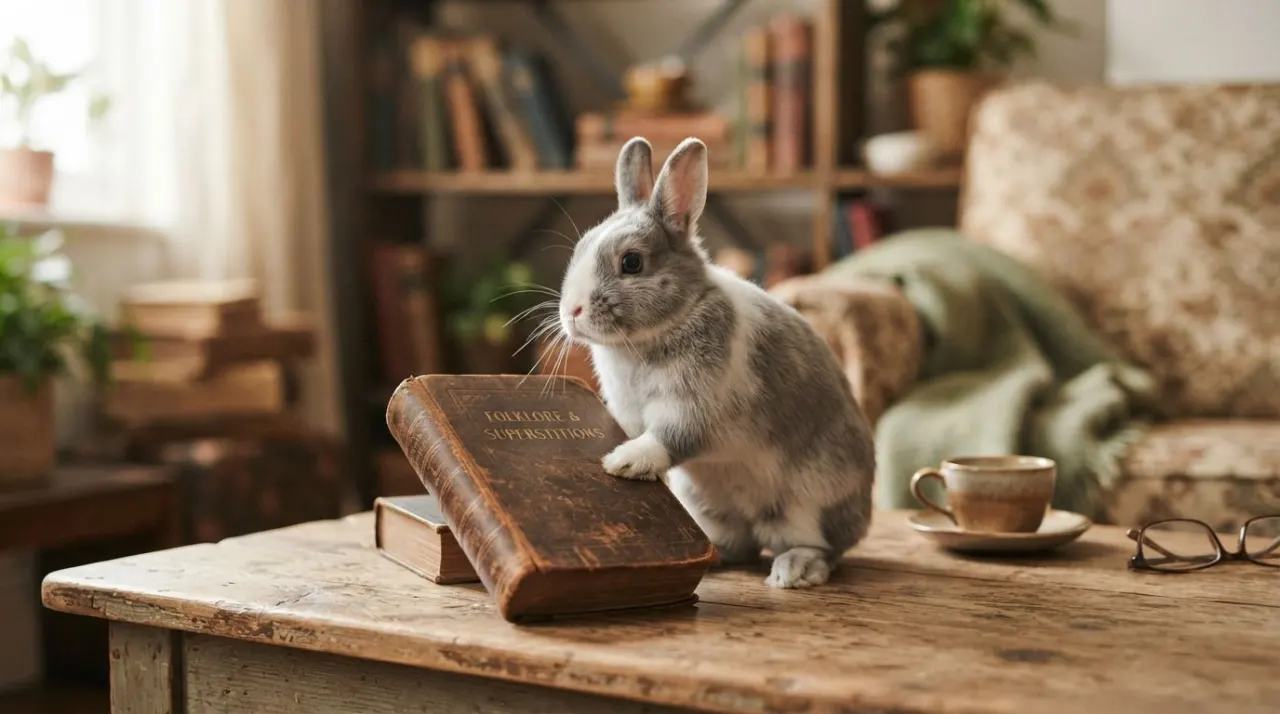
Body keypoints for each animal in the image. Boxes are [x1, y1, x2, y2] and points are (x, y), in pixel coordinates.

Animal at [556, 136, 876, 588]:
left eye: (631, 262)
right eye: (580, 248)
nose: (572, 311)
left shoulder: (693, 407)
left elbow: (669, 437)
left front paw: (625, 461)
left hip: (811, 500)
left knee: (823, 548)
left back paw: (794, 570)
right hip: (708, 502)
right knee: (739, 544)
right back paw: (714, 555)